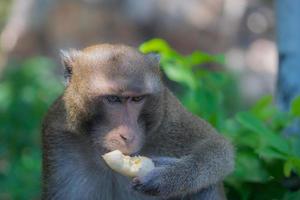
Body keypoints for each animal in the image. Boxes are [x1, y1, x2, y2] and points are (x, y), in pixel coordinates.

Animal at [41, 43, 234, 199]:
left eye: (137, 99)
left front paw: (168, 174)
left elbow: (217, 147)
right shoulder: (58, 133)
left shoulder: (169, 116)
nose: (127, 136)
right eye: (113, 99)